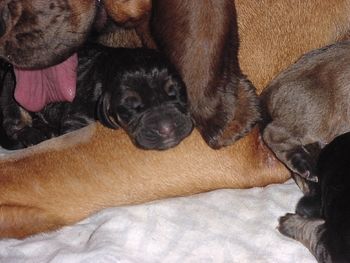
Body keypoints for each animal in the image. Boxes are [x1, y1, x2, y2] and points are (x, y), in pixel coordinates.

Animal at [0, 46, 194, 151]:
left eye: (176, 92)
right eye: (130, 107)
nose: (167, 129)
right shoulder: (77, 118)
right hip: (12, 92)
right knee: (13, 125)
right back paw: (34, 135)